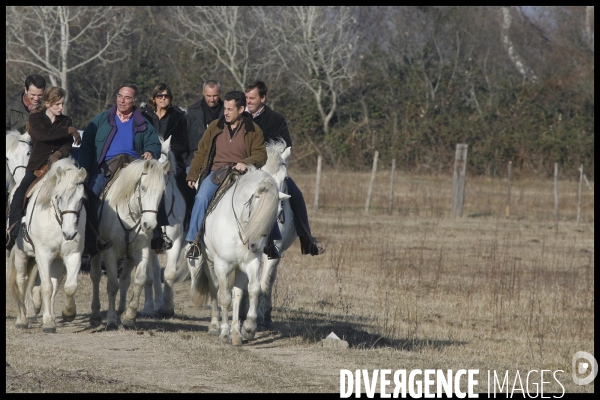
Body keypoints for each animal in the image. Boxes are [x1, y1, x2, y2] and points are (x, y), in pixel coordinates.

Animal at [7, 158, 87, 332]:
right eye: (58, 197)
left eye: (82, 199)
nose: (70, 234)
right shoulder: (43, 255)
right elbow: (46, 287)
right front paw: (49, 323)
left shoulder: (73, 254)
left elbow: (69, 286)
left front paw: (68, 313)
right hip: (21, 254)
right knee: (21, 282)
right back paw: (22, 320)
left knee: (53, 285)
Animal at [88, 158, 166, 330]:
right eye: (143, 188)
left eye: (162, 192)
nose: (149, 224)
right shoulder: (109, 252)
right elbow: (112, 285)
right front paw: (111, 320)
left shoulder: (141, 250)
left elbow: (139, 280)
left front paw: (129, 316)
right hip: (97, 251)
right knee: (96, 277)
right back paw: (96, 315)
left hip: (129, 257)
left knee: (125, 280)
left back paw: (121, 310)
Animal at [188, 167, 284, 346]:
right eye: (256, 211)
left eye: (276, 215)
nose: (255, 246)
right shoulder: (222, 265)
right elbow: (224, 297)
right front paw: (224, 333)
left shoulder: (252, 262)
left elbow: (253, 290)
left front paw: (248, 328)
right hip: (210, 263)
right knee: (215, 289)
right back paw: (215, 326)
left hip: (239, 268)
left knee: (238, 294)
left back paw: (236, 333)